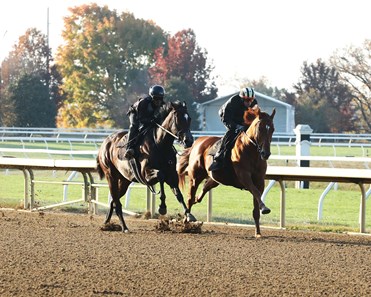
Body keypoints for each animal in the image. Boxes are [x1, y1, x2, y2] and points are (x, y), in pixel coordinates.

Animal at [97, 100, 198, 232]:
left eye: (189, 118)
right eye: (177, 118)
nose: (189, 141)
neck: (159, 144)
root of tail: (105, 143)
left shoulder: (172, 175)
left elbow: (178, 194)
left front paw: (189, 215)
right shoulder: (146, 174)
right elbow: (160, 175)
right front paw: (162, 207)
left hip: (124, 180)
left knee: (113, 201)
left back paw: (106, 224)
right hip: (111, 176)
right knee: (116, 203)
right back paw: (124, 227)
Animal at [177, 107, 276, 236]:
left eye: (272, 129)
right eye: (260, 128)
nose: (266, 153)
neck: (251, 152)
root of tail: (197, 142)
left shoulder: (259, 181)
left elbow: (257, 201)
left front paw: (258, 232)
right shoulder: (244, 177)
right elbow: (256, 192)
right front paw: (265, 208)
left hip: (215, 179)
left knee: (202, 191)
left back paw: (196, 201)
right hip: (195, 177)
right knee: (189, 198)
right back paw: (186, 221)